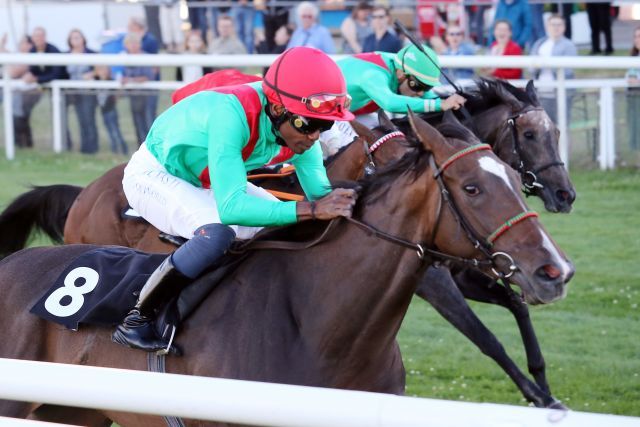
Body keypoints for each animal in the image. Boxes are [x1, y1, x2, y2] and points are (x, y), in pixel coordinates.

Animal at [0, 112, 576, 426]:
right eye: (472, 188)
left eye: (511, 177)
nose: (555, 269)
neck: (319, 325)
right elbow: (489, 334)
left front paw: (544, 391)